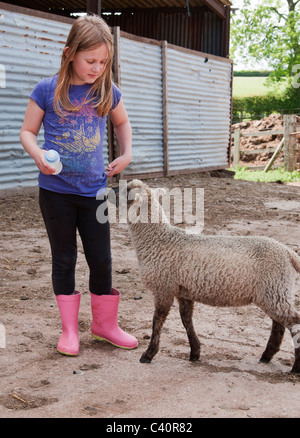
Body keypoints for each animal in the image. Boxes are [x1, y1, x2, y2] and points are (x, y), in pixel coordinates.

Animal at [114, 178, 300, 372]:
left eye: (125, 190)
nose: (108, 190)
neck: (158, 239)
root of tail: (288, 252)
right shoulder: (183, 290)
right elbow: (186, 320)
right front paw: (195, 352)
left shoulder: (164, 287)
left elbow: (157, 320)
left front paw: (148, 354)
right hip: (274, 291)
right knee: (279, 323)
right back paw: (266, 356)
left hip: (274, 289)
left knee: (294, 322)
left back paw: (295, 366)